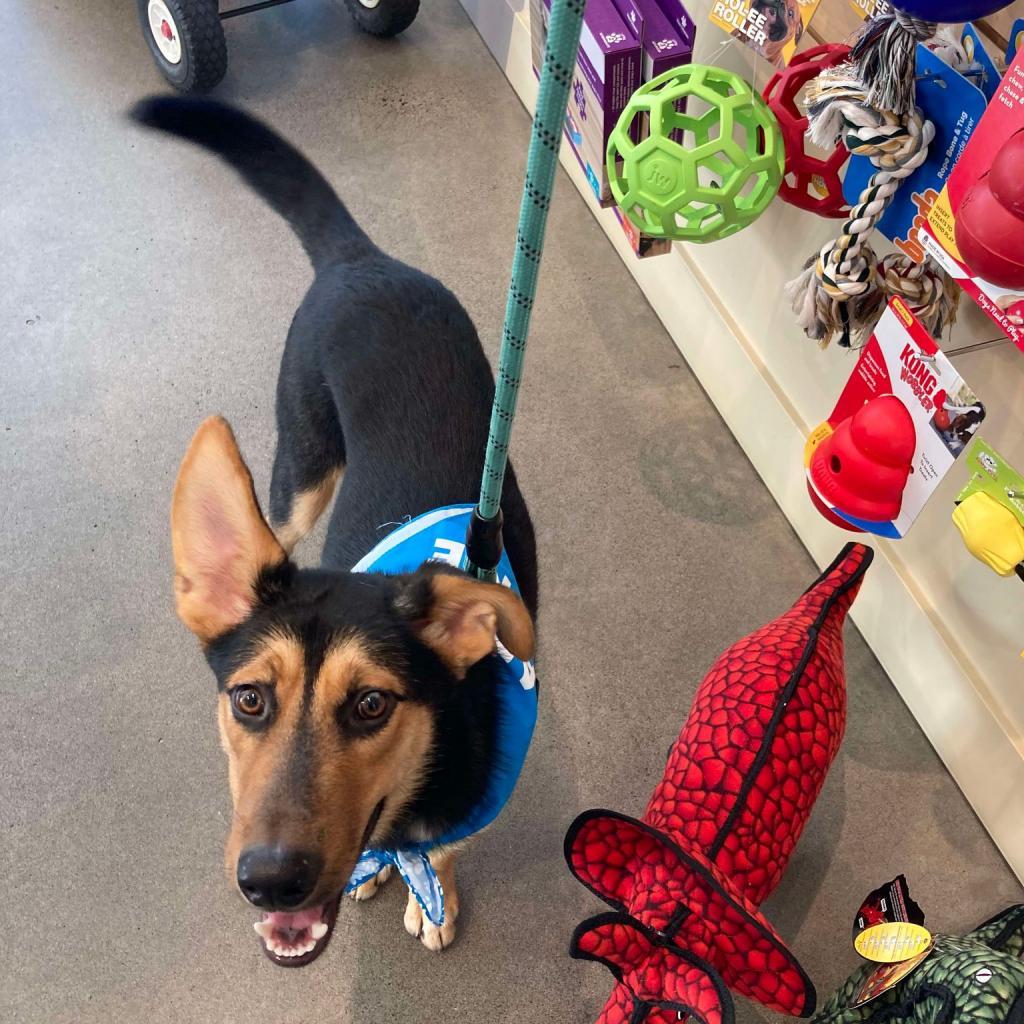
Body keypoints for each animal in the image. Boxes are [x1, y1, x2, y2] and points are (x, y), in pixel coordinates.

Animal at [132, 94, 540, 958]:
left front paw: (431, 899)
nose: (270, 879)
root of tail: (362, 258)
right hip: (300, 471)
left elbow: (442, 852)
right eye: (249, 700)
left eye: (372, 706)